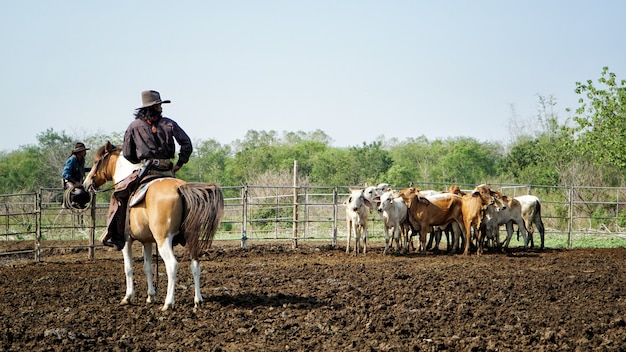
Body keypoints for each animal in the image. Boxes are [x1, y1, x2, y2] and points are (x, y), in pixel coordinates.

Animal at [83, 142, 222, 310]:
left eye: (96, 161)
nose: (86, 183)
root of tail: (180, 188)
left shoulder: (127, 240)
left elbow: (128, 268)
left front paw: (128, 297)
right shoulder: (147, 241)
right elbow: (147, 268)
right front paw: (151, 296)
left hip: (163, 239)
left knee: (172, 265)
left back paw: (168, 303)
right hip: (191, 237)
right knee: (195, 265)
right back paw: (198, 300)